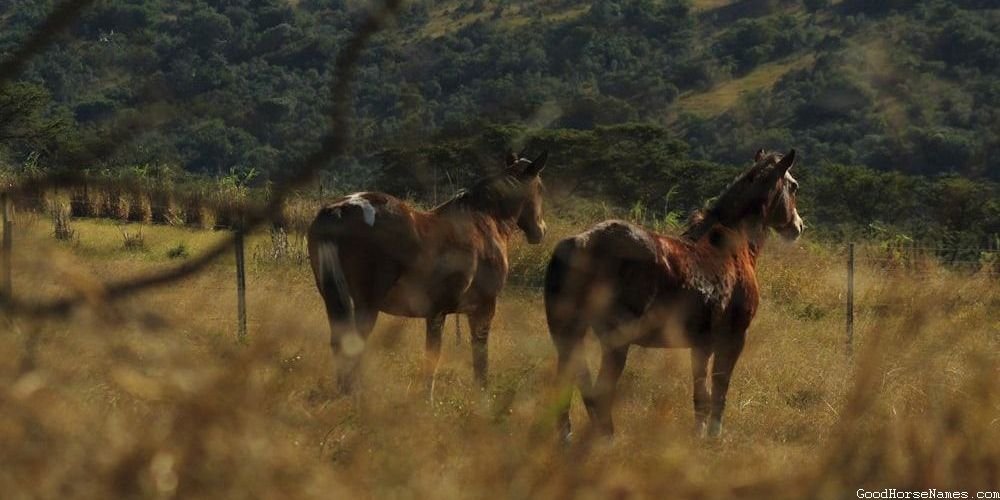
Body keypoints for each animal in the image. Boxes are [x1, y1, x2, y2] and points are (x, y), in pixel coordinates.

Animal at [310, 150, 552, 396]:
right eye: (541, 188)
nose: (540, 231)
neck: (485, 221)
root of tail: (338, 210)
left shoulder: (437, 313)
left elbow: (432, 355)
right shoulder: (482, 308)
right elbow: (477, 357)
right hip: (367, 304)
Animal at [544, 147, 800, 438]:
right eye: (794, 186)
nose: (798, 226)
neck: (734, 245)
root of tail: (581, 242)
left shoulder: (701, 344)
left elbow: (701, 395)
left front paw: (698, 435)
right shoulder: (734, 338)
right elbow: (720, 390)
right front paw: (714, 436)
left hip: (570, 334)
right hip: (614, 342)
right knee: (600, 392)